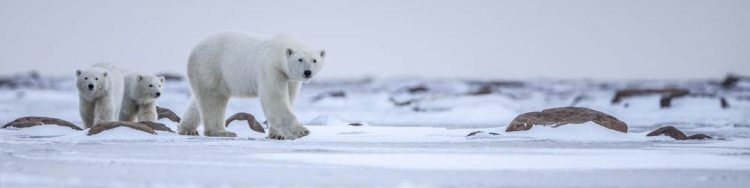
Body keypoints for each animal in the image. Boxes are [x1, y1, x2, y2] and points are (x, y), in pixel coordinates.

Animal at [181, 32, 326, 139]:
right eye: (300, 59)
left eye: (314, 60)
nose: (307, 72)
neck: (278, 50)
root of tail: (194, 49)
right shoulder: (271, 69)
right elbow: (275, 100)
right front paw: (302, 131)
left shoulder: (290, 78)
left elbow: (289, 98)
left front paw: (277, 135)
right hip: (210, 67)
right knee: (214, 99)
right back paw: (221, 131)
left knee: (200, 99)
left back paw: (187, 129)